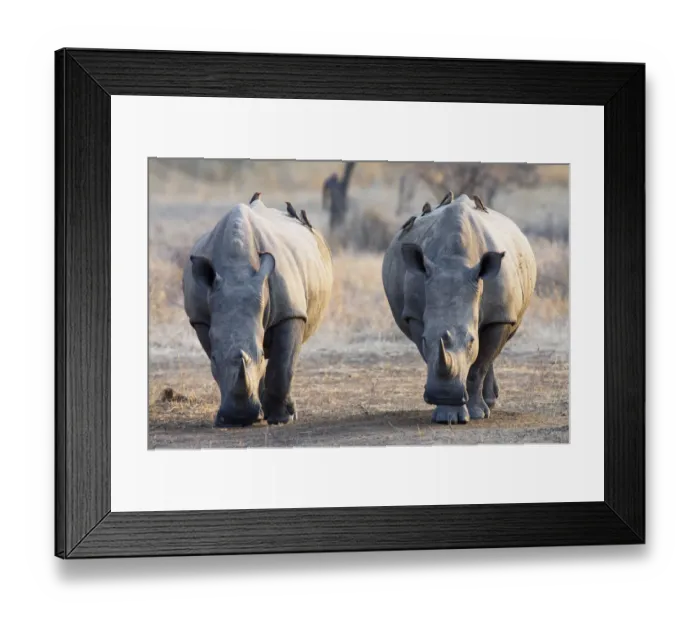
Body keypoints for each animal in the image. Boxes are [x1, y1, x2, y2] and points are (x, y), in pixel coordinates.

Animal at [183, 197, 333, 427]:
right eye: (214, 359)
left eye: (261, 354)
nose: (239, 418)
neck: (237, 270)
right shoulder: (201, 320)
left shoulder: (290, 313)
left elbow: (282, 367)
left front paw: (282, 419)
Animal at [382, 194, 537, 424]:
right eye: (425, 339)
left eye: (471, 341)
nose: (443, 394)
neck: (456, 261)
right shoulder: (415, 315)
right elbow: (432, 357)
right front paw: (447, 415)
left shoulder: (500, 315)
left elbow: (479, 366)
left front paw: (476, 414)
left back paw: (489, 403)